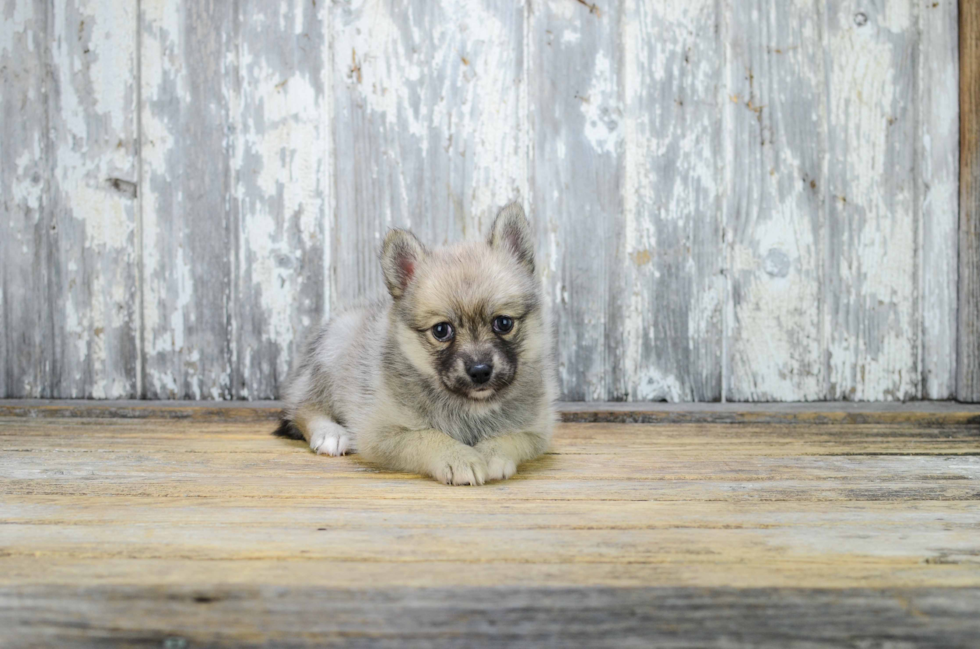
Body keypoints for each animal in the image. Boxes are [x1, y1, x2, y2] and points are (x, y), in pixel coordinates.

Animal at [274, 205, 560, 484]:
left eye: (503, 323)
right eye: (441, 330)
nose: (480, 372)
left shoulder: (536, 431)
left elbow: (510, 437)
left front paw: (490, 455)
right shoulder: (381, 432)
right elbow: (427, 436)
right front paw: (460, 459)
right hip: (332, 354)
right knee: (302, 406)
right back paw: (330, 433)